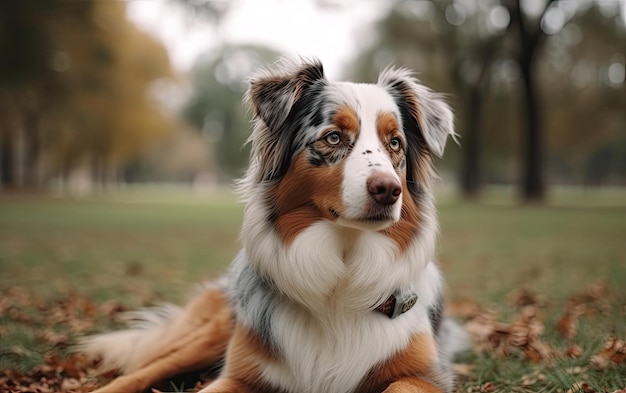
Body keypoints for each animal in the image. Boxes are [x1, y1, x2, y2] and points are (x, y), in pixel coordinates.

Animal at [81, 58, 464, 392]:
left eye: (395, 143)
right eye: (334, 137)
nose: (388, 190)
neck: (340, 283)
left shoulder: (425, 375)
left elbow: (401, 384)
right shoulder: (241, 373)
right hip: (212, 334)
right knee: (144, 370)